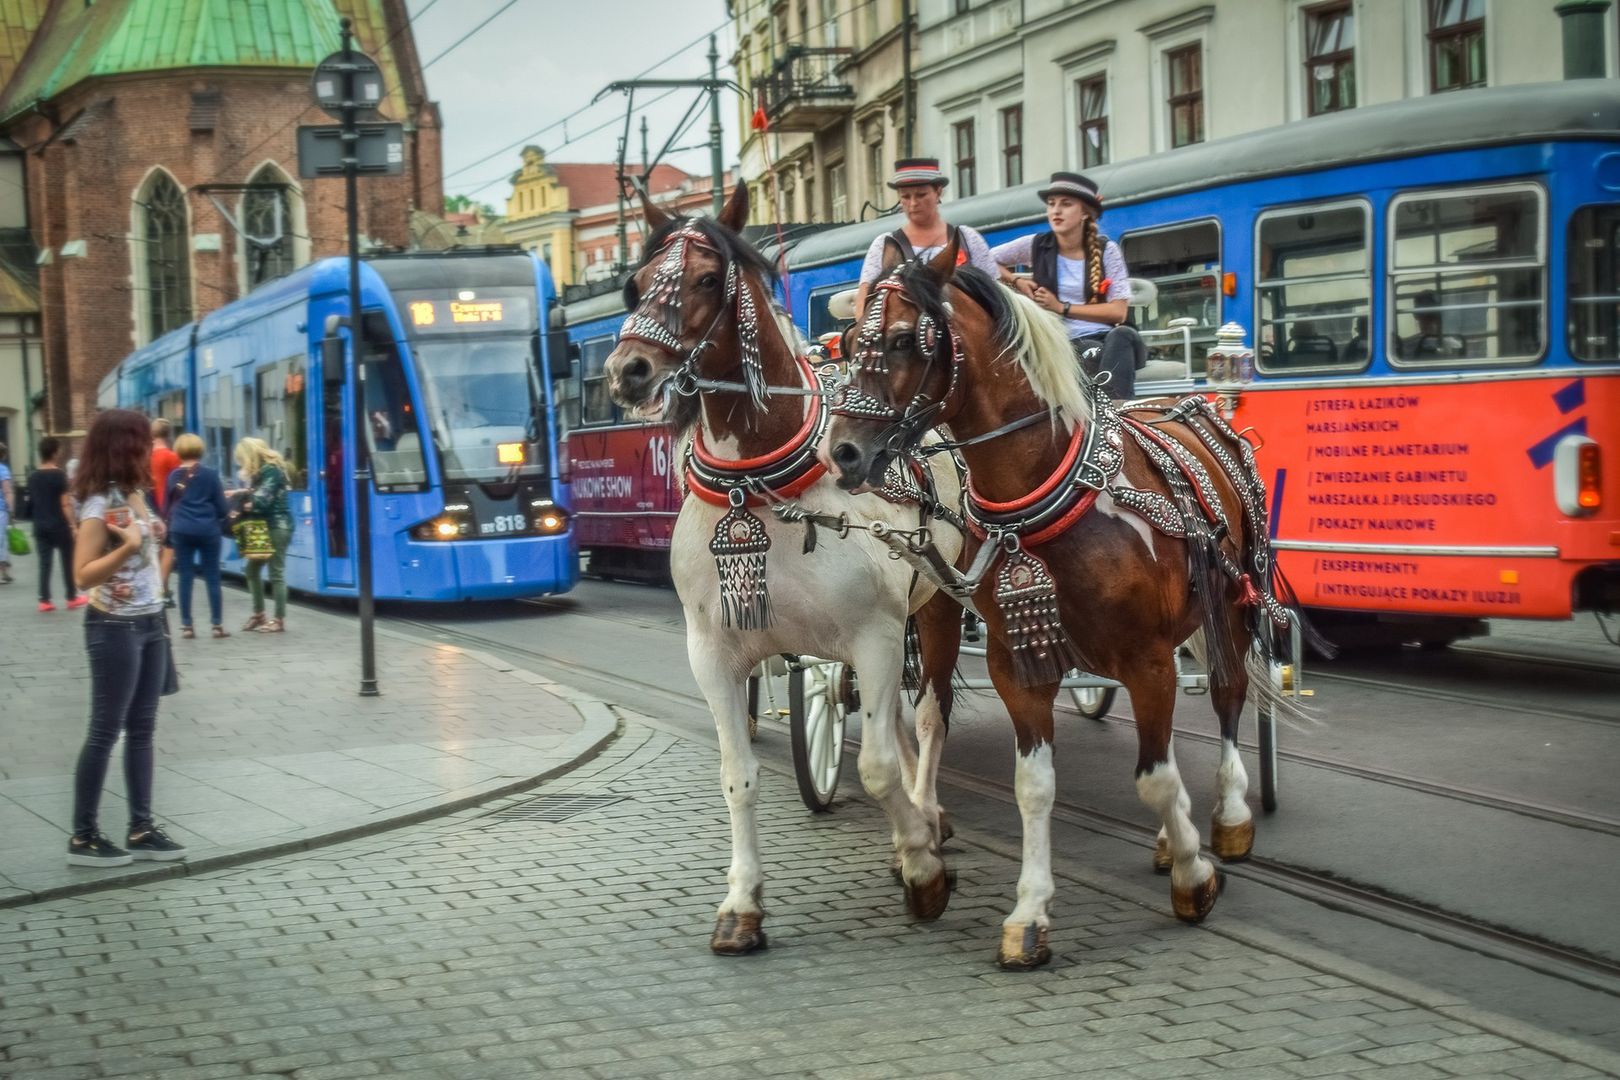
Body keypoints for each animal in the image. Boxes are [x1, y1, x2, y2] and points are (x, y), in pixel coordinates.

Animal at [602, 186, 965, 952]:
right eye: (638, 283)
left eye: (708, 279)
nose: (627, 372)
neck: (759, 484)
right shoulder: (712, 653)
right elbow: (738, 775)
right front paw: (742, 902)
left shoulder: (876, 634)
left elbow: (878, 765)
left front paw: (922, 871)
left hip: (941, 602)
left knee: (926, 718)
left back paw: (927, 816)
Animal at [822, 242, 1302, 971]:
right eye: (850, 343)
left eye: (906, 339)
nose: (843, 452)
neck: (1050, 492)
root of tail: (1190, 407)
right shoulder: (1018, 663)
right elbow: (1035, 785)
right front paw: (1030, 914)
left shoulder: (1146, 656)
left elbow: (1154, 779)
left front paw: (1196, 876)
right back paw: (1175, 837)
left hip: (1229, 605)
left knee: (1227, 697)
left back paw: (1228, 818)